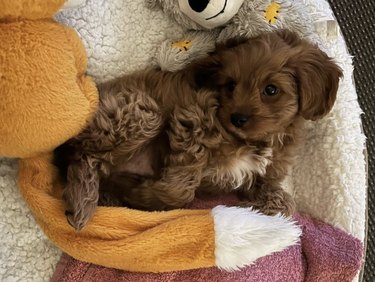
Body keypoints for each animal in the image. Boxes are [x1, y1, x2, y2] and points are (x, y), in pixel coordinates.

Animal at [56, 29, 344, 230]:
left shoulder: (263, 176)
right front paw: (146, 197)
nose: (238, 118)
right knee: (81, 154)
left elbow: (284, 203)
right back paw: (82, 203)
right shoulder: (190, 121)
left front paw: (259, 205)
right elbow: (180, 190)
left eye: (271, 90)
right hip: (143, 112)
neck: (253, 141)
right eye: (230, 85)